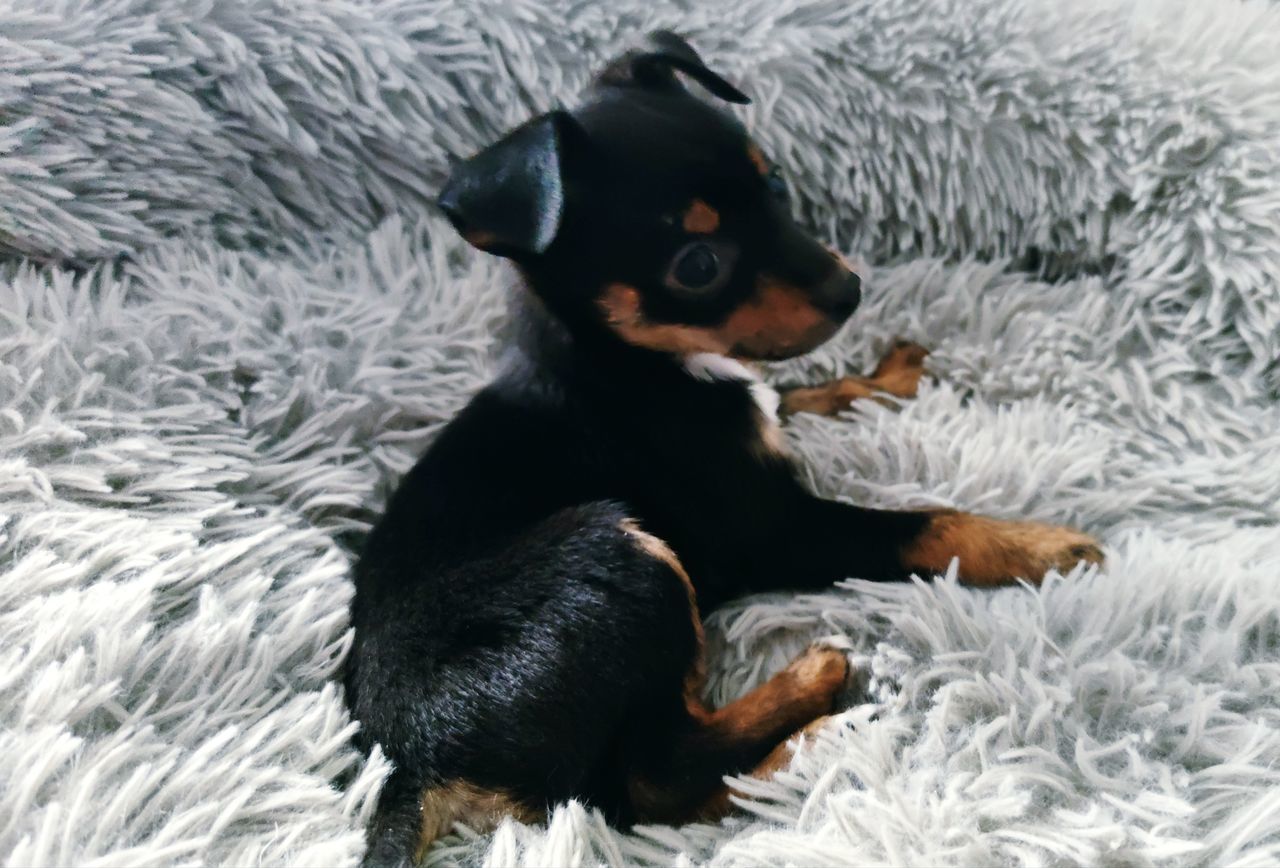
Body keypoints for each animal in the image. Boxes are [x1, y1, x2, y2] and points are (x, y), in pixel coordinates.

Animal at [345, 30, 1105, 865]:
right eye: (699, 266)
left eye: (775, 186)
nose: (850, 291)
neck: (640, 362)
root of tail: (412, 762)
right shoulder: (778, 530)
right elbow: (928, 524)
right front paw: (1042, 545)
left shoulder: (759, 409)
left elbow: (800, 391)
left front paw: (889, 372)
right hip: (619, 555)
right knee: (656, 787)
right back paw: (812, 714)